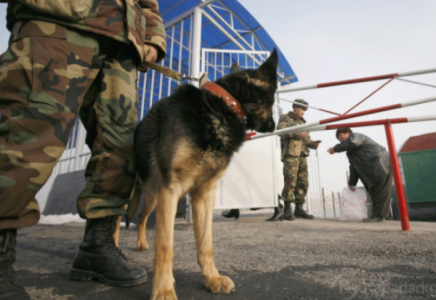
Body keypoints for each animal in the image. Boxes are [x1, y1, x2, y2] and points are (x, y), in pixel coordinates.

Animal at [124, 48, 278, 298]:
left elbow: (206, 243)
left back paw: (141, 244)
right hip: (141, 192)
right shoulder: (171, 189)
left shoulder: (204, 195)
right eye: (274, 100)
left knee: (140, 217)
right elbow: (165, 245)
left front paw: (212, 278)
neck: (223, 107)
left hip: (154, 196)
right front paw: (164, 289)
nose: (274, 126)